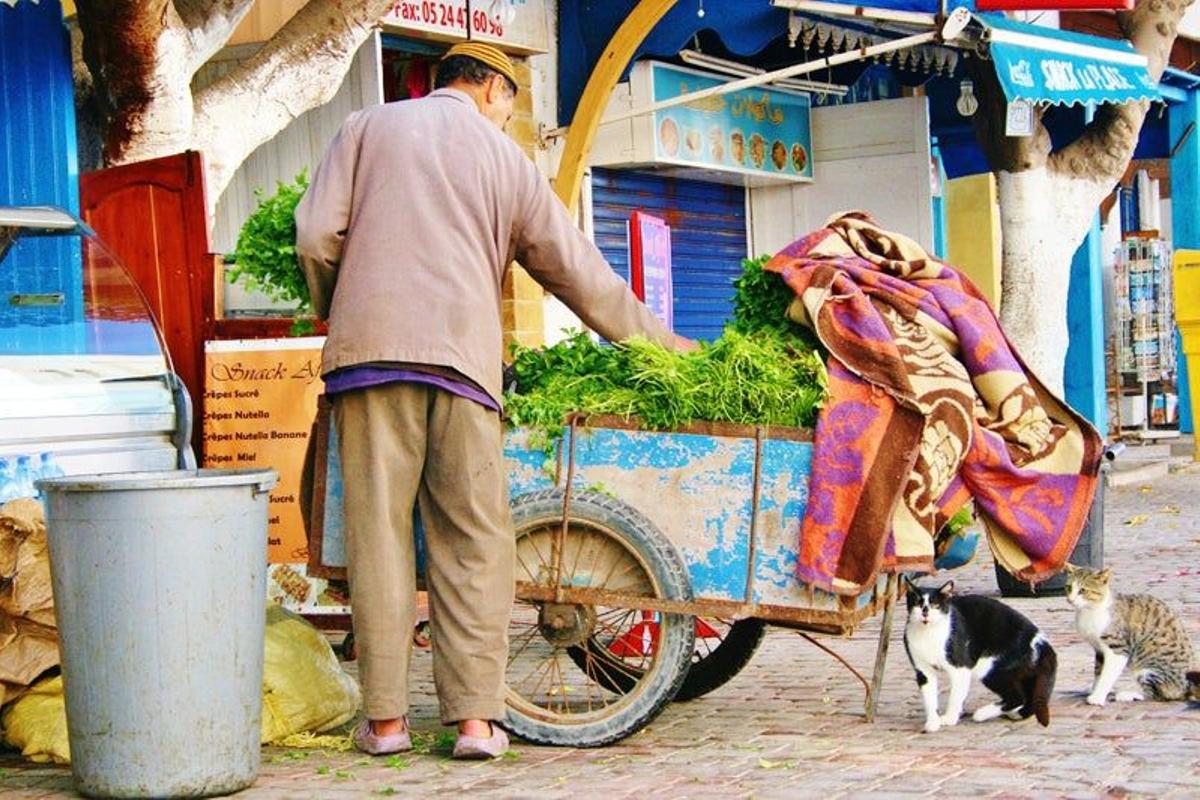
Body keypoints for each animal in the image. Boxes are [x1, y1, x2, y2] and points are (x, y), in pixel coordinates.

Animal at [902, 578, 1060, 734]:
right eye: (917, 603)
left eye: (935, 605)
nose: (925, 613)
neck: (927, 634)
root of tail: (1040, 639)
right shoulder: (923, 671)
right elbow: (929, 698)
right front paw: (933, 722)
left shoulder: (961, 667)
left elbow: (955, 696)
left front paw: (950, 718)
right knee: (1028, 697)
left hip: (989, 667)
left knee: (1017, 696)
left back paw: (982, 714)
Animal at [1070, 566, 1200, 705]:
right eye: (1068, 587)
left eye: (1083, 590)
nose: (1071, 599)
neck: (1090, 610)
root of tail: (1188, 686)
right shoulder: (1099, 649)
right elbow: (1098, 671)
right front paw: (1095, 689)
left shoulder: (1117, 648)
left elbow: (1107, 675)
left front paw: (1098, 696)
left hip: (1148, 669)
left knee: (1156, 695)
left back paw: (1128, 695)